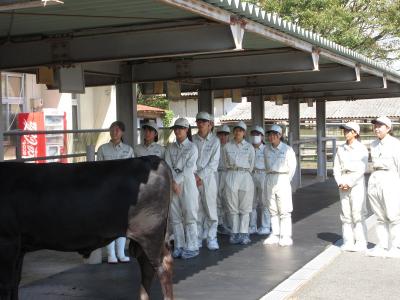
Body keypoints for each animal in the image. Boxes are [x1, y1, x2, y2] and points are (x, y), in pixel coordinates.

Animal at [0, 156, 173, 298]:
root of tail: (152, 159)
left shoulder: (7, 242)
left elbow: (6, 285)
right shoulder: (19, 247)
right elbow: (14, 282)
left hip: (150, 235)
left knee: (163, 269)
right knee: (147, 269)